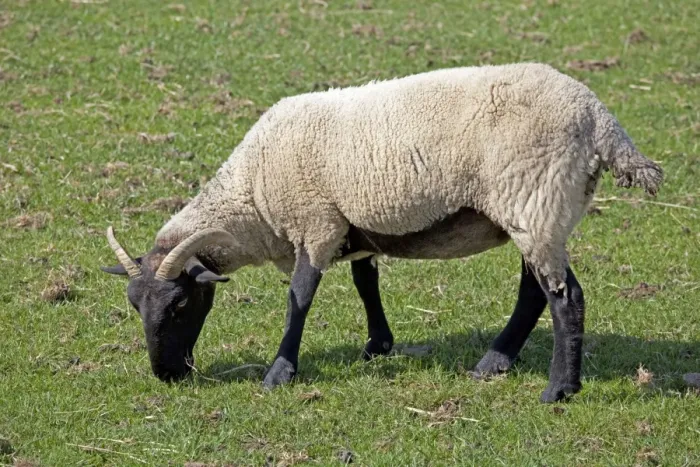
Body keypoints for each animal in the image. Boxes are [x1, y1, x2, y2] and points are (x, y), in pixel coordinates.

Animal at [102, 63, 663, 402]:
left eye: (180, 304)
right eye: (134, 304)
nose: (167, 375)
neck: (252, 196)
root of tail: (601, 121)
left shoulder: (317, 222)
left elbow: (300, 297)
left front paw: (280, 372)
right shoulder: (351, 225)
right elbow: (365, 281)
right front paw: (378, 345)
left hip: (535, 200)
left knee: (565, 297)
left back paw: (559, 389)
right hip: (538, 208)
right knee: (535, 293)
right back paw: (495, 362)